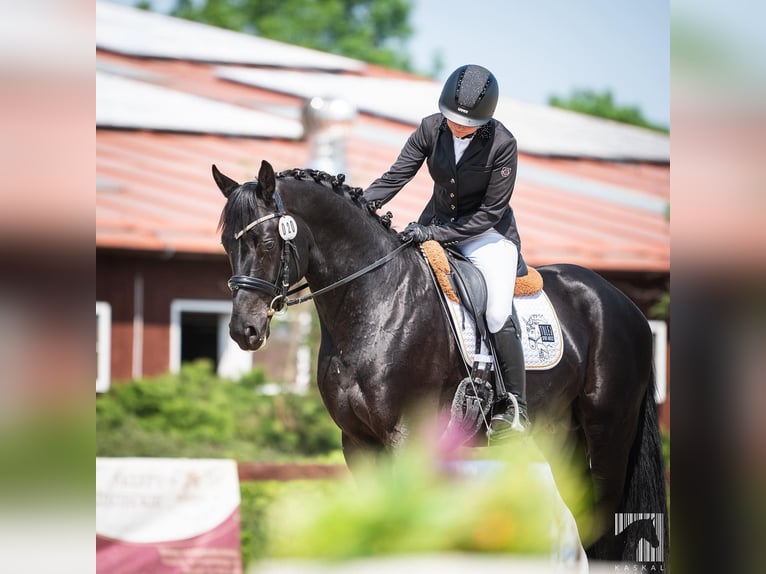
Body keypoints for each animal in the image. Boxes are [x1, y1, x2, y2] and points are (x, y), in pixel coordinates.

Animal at [213, 161, 668, 564]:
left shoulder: (407, 436)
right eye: (226, 245)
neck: (376, 300)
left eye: (267, 243)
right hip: (561, 438)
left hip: (607, 434)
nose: (243, 330)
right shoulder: (357, 441)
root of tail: (622, 302)